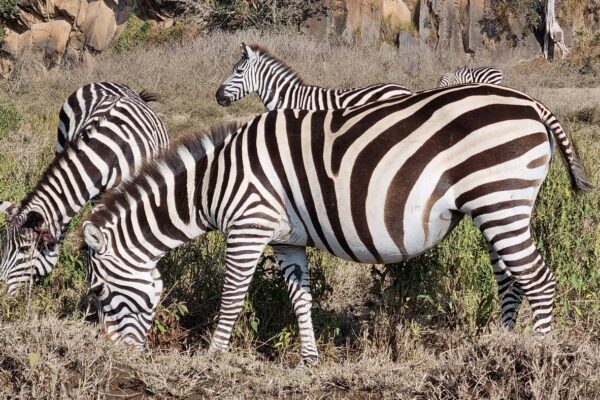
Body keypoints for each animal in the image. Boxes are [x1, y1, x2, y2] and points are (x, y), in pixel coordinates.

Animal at [0, 82, 169, 294]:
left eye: (23, 249)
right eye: (3, 244)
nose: (1, 293)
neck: (106, 155)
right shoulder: (99, 199)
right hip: (61, 144)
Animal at [81, 84, 592, 366]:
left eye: (99, 292)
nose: (110, 357)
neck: (213, 183)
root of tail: (531, 103)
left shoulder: (247, 227)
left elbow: (231, 299)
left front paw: (213, 359)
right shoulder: (285, 240)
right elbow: (300, 299)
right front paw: (309, 361)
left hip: (500, 197)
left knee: (539, 281)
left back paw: (534, 357)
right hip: (498, 207)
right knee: (510, 278)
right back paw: (500, 346)